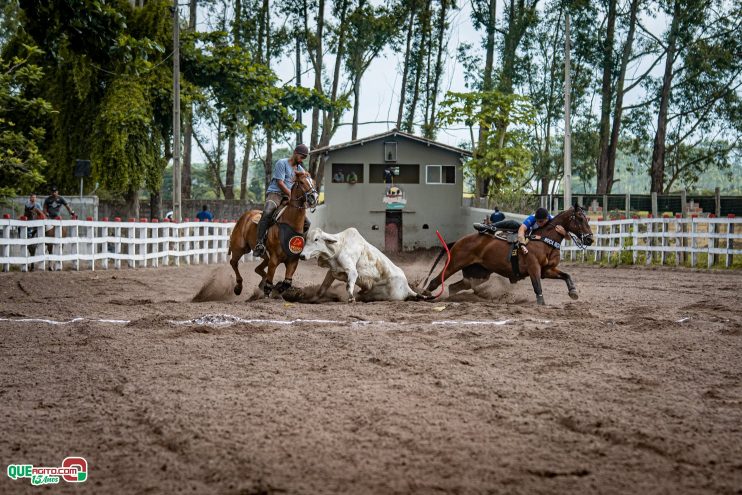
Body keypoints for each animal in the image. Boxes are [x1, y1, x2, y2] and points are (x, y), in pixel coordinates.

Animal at [300, 228, 428, 302]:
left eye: (316, 239)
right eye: (306, 239)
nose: (302, 256)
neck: (338, 247)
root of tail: (407, 287)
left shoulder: (351, 271)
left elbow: (349, 285)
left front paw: (351, 298)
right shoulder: (332, 272)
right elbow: (322, 288)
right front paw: (311, 299)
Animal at [428, 203, 596, 304]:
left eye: (587, 218)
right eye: (580, 218)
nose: (590, 239)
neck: (544, 240)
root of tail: (458, 241)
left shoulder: (547, 270)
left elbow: (566, 275)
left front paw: (573, 292)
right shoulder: (533, 268)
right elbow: (538, 287)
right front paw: (541, 303)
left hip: (478, 273)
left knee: (454, 287)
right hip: (454, 264)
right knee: (435, 282)